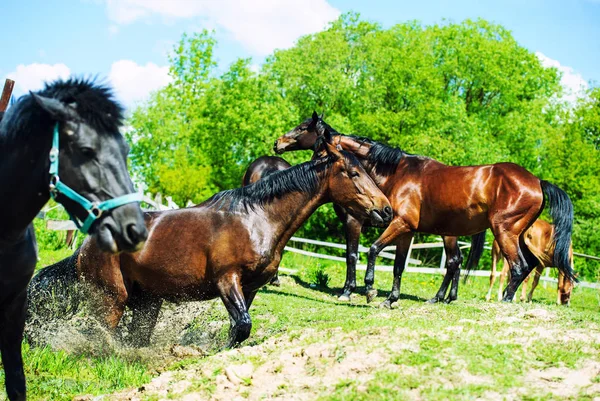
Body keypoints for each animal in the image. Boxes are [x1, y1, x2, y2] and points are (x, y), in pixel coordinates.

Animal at [276, 112, 576, 306]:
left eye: (303, 128)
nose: (277, 143)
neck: (398, 171)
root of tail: (537, 181)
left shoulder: (392, 224)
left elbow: (368, 251)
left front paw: (365, 289)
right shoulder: (406, 231)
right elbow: (398, 265)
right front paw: (391, 299)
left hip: (503, 233)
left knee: (516, 267)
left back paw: (502, 301)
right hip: (511, 236)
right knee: (506, 266)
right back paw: (444, 298)